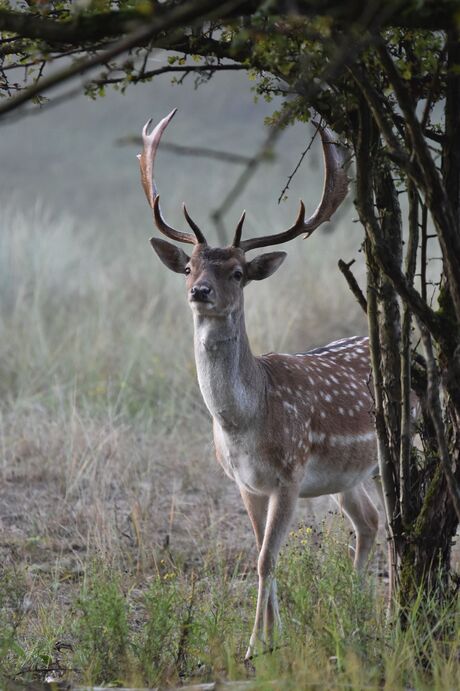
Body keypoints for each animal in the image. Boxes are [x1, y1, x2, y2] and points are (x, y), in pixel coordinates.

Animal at [138, 109, 380, 660]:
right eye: (189, 266)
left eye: (238, 271)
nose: (199, 291)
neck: (245, 420)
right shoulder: (245, 483)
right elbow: (260, 555)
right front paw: (271, 640)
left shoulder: (290, 473)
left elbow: (268, 558)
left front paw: (255, 646)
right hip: (352, 474)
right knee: (371, 523)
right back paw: (361, 616)